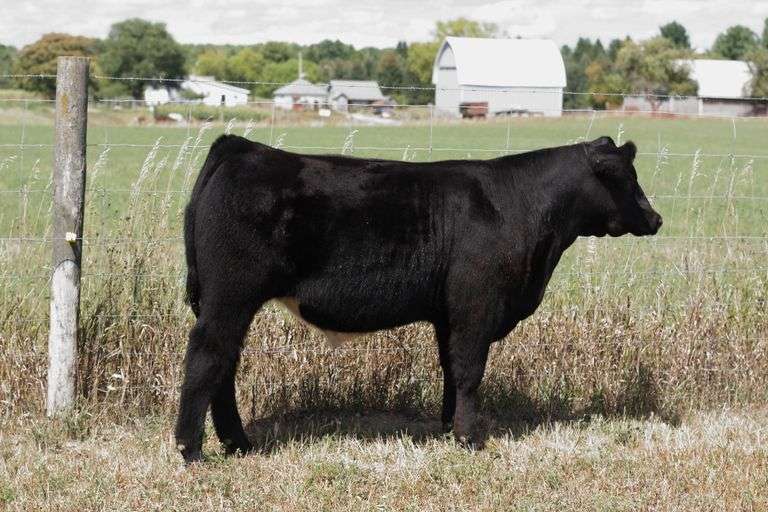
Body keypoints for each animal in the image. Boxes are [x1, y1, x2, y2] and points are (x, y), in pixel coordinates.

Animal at [174, 134, 662, 463]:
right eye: (627, 178)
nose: (656, 218)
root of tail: (242, 147)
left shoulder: (448, 314)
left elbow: (450, 368)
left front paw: (449, 428)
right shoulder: (475, 306)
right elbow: (469, 370)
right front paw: (469, 438)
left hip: (226, 302)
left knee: (225, 363)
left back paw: (238, 444)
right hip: (229, 297)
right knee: (207, 358)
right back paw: (192, 449)